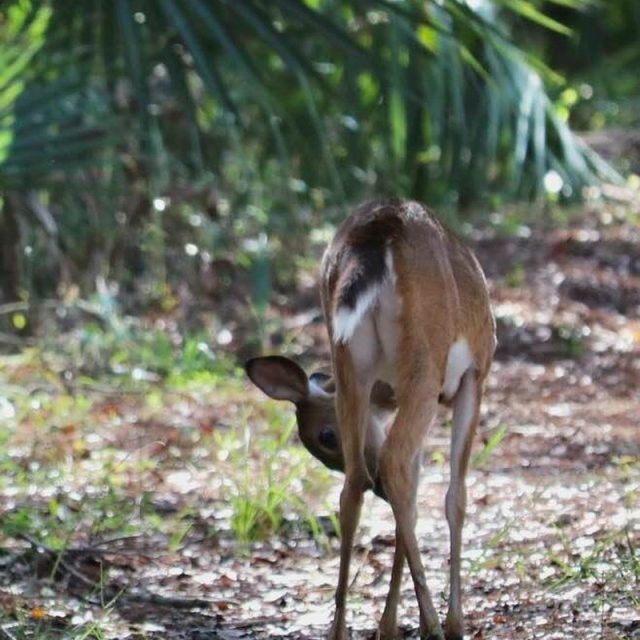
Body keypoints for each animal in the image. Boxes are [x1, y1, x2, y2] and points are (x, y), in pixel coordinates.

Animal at [245, 199, 495, 640]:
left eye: (325, 438)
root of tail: (379, 232)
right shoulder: (473, 375)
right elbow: (454, 497)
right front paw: (451, 621)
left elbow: (409, 500)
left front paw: (389, 624)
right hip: (424, 364)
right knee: (395, 464)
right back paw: (435, 623)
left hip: (348, 361)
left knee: (353, 488)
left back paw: (339, 629)